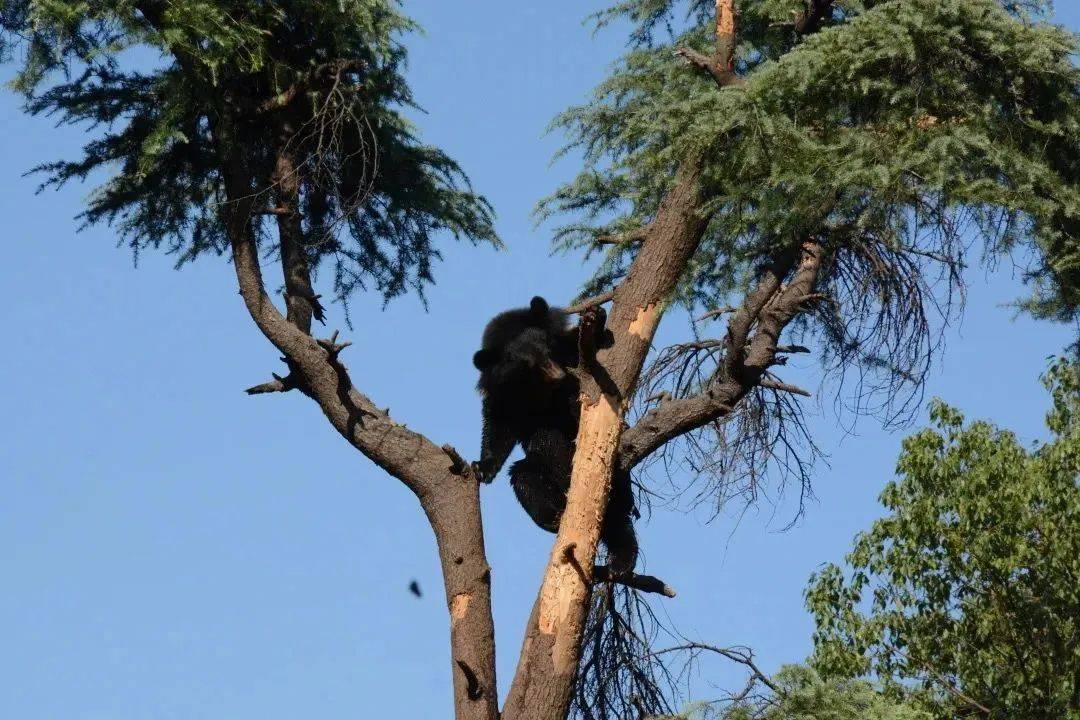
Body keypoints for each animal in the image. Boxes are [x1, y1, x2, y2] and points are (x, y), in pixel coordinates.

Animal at [468, 297, 635, 574]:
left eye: (549, 350)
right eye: (528, 366)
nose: (559, 376)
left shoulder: (569, 358)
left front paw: (597, 317)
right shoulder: (504, 393)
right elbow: (497, 426)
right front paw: (482, 467)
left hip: (615, 476)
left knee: (619, 511)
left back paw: (621, 561)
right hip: (538, 473)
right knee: (524, 479)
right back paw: (553, 518)